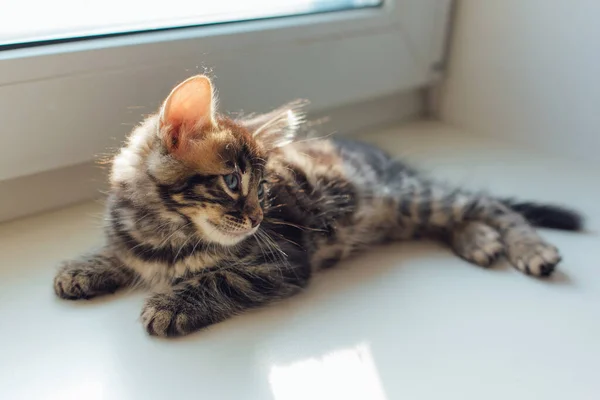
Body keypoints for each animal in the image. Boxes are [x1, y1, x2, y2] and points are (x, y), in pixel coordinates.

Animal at [55, 75, 580, 338]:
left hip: (408, 197)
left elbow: (220, 277)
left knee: (486, 203)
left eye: (265, 189)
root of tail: (385, 157)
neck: (165, 232)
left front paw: (171, 303)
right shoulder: (132, 238)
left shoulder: (282, 262)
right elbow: (119, 253)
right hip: (407, 212)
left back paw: (526, 246)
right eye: (232, 182)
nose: (257, 218)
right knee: (455, 218)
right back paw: (478, 241)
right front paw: (85, 268)